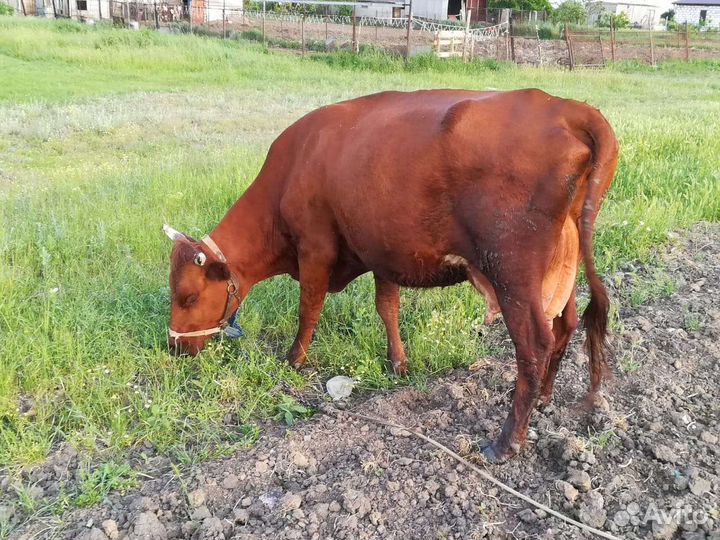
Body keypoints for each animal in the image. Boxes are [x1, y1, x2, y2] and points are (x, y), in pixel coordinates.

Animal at [164, 89, 619, 463]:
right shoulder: (383, 254)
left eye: (188, 296)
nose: (173, 347)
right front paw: (397, 363)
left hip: (514, 273)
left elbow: (309, 309)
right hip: (559, 268)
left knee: (534, 344)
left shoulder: (315, 248)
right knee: (566, 324)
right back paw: (545, 398)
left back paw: (506, 442)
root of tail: (565, 107)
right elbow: (388, 309)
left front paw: (294, 360)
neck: (294, 166)